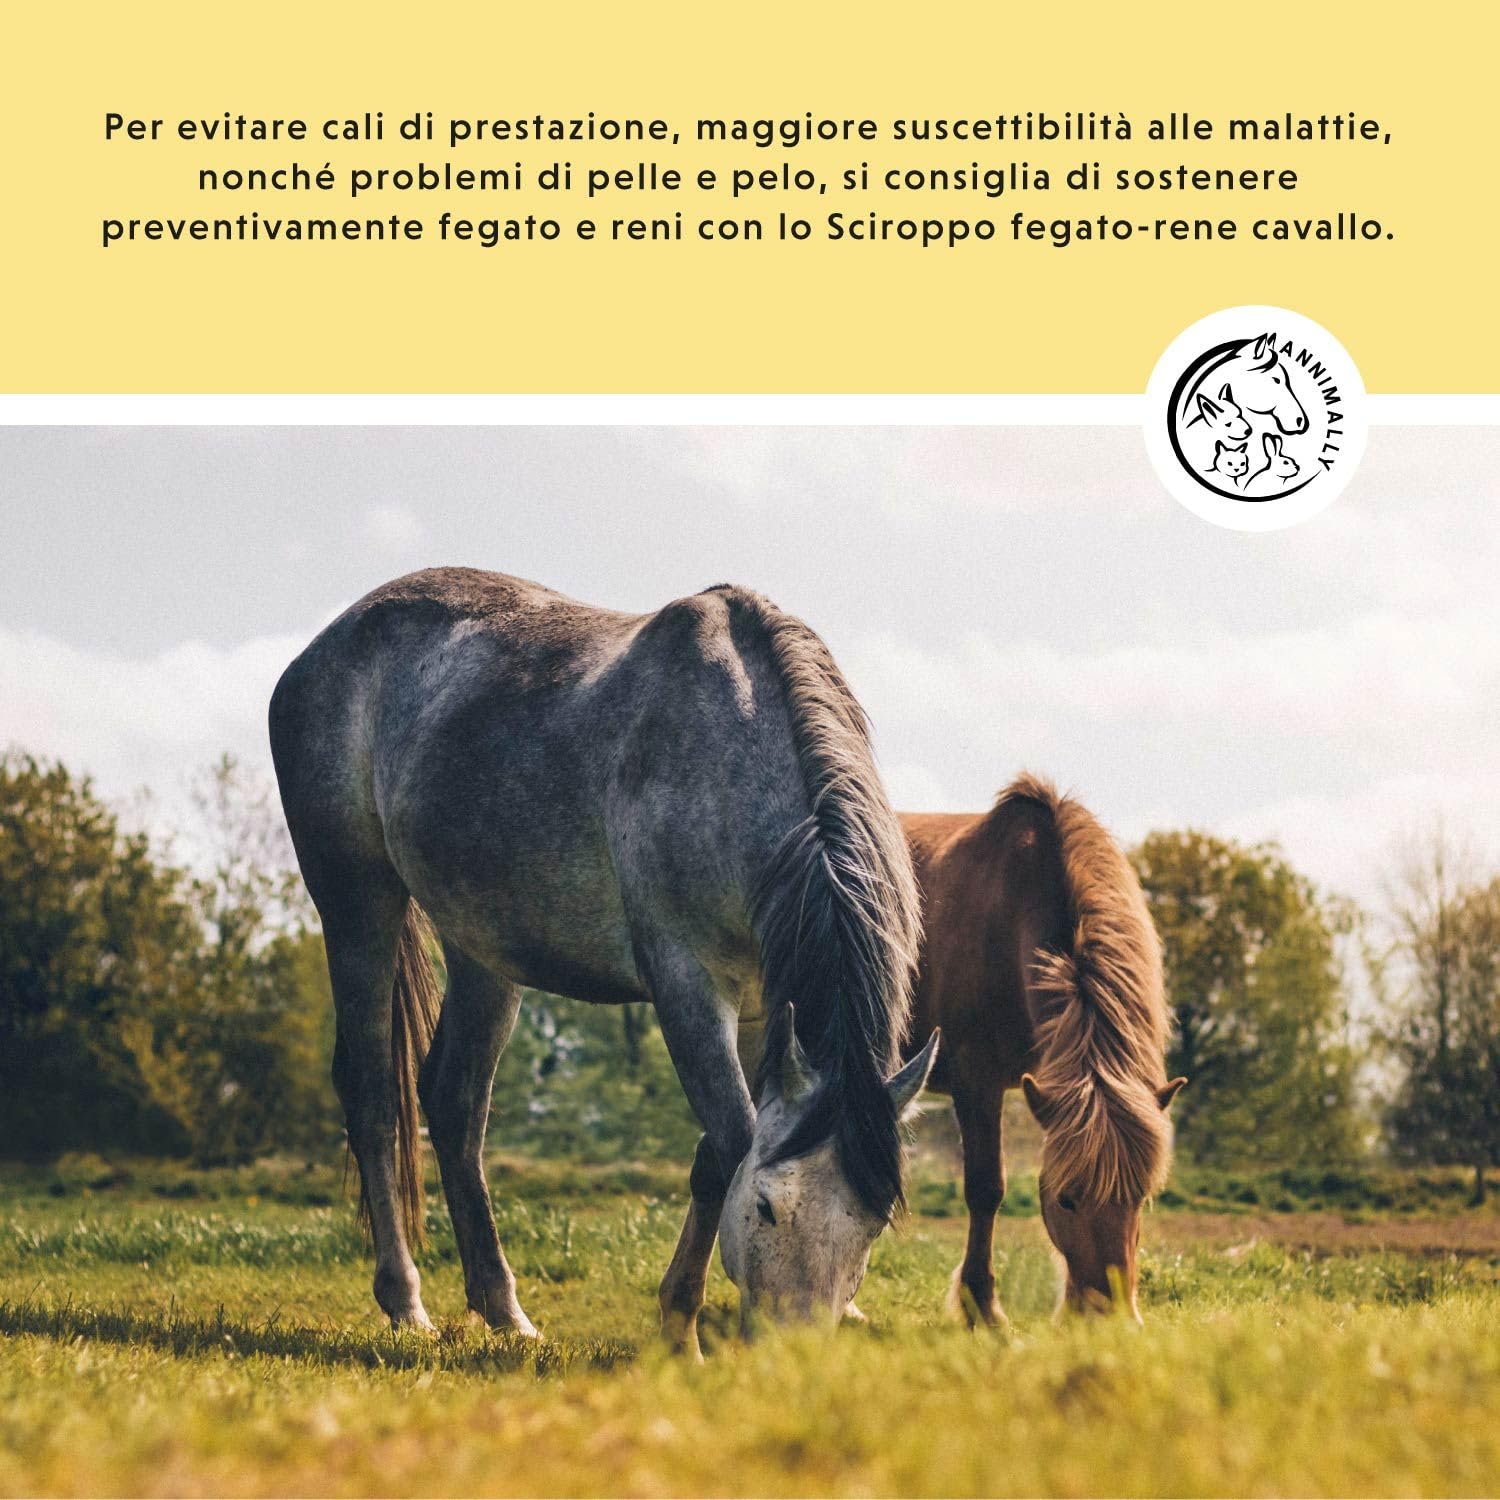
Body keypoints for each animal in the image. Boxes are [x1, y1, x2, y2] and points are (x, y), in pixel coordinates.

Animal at [269, 567, 938, 1353]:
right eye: (770, 1208)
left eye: (873, 1223)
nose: (792, 1354)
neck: (733, 751)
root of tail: (323, 647)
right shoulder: (686, 984)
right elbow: (732, 1142)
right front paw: (682, 1332)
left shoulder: (762, 1010)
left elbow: (715, 1156)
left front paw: (676, 1320)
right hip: (357, 905)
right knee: (375, 1095)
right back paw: (405, 1302)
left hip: (481, 947)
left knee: (454, 1103)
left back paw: (504, 1310)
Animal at [902, 776, 1185, 1324]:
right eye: (1066, 1199)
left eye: (1140, 1198)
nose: (1109, 1317)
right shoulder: (976, 1083)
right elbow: (986, 1189)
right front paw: (983, 1308)